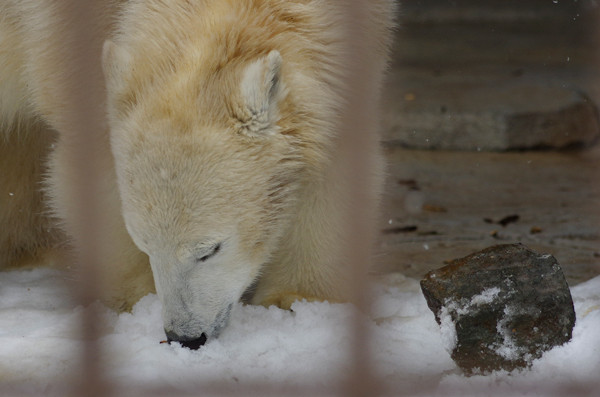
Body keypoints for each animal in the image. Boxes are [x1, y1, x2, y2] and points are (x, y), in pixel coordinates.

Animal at [0, 0, 396, 346]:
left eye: (209, 250)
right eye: (144, 244)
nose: (186, 336)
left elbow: (331, 165)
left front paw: (296, 300)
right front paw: (135, 300)